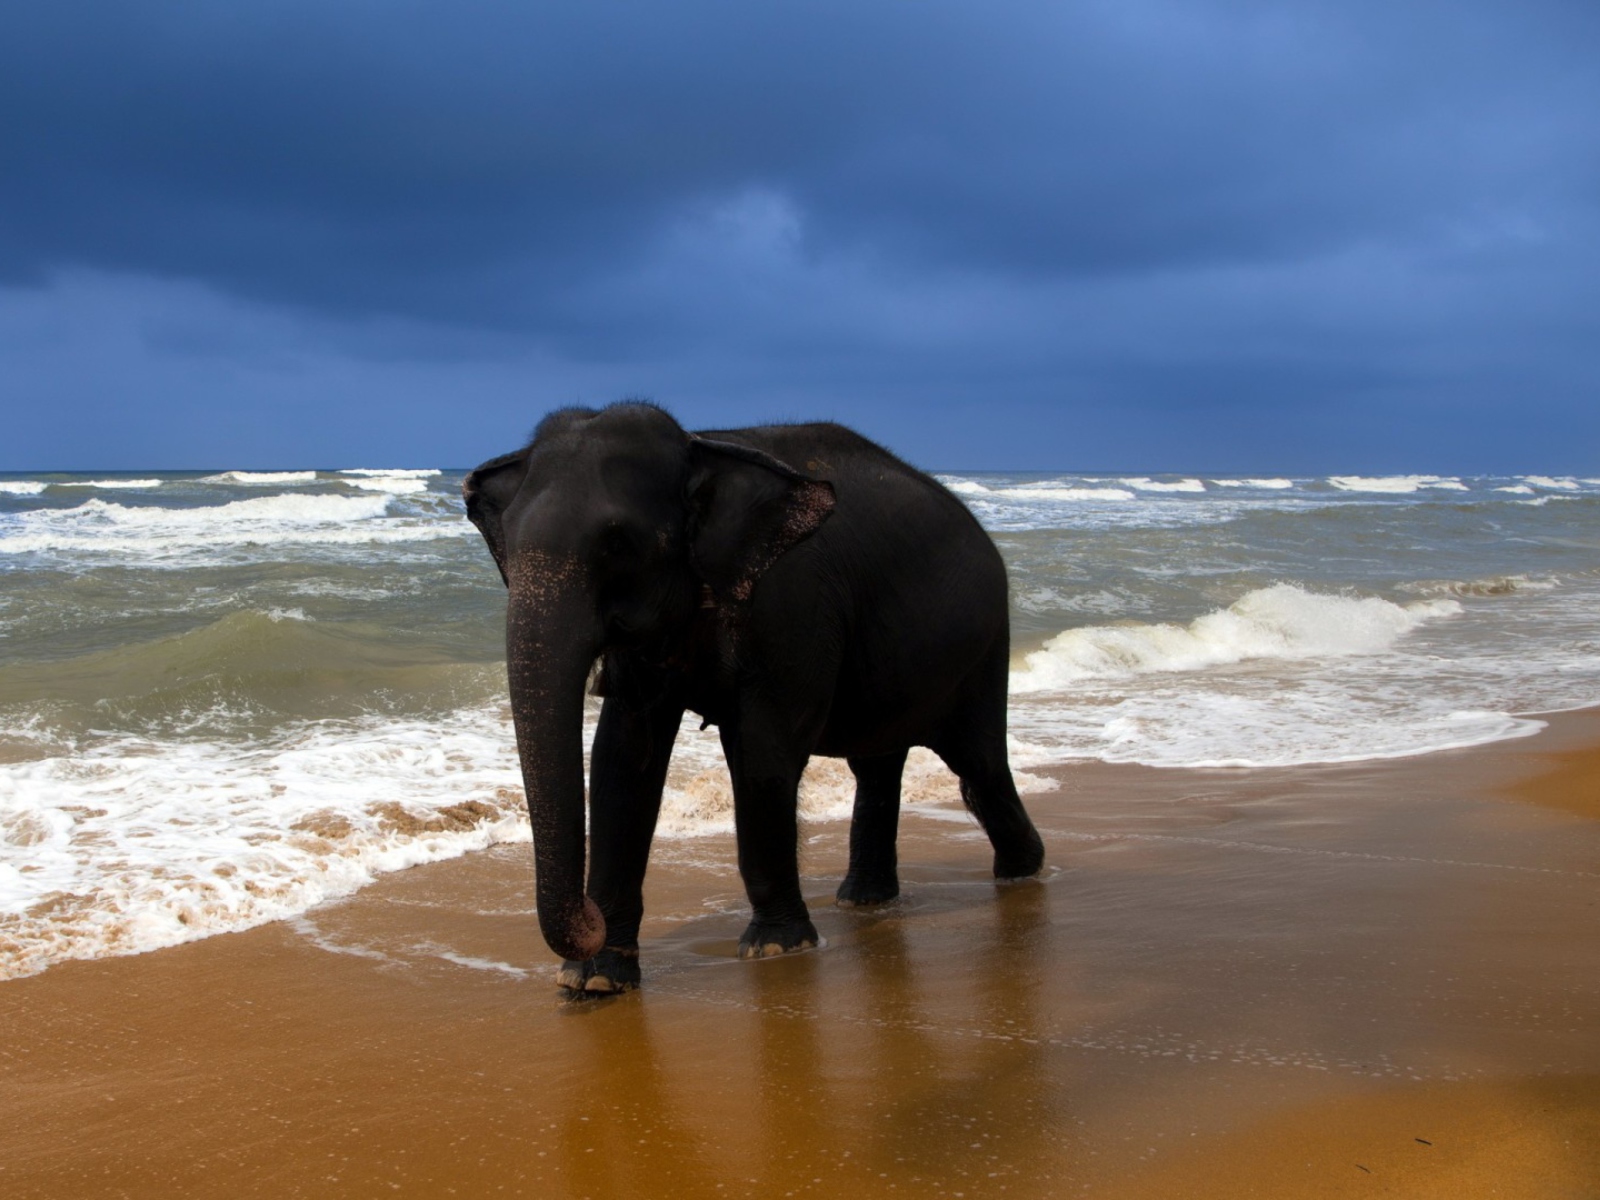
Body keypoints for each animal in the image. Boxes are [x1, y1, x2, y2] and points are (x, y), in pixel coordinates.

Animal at [460, 404, 1049, 998]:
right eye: (507, 542)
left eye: (617, 543)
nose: (590, 917)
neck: (702, 447)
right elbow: (621, 762)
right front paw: (595, 980)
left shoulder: (793, 604)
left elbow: (763, 755)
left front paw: (776, 948)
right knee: (879, 764)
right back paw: (864, 899)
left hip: (983, 645)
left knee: (978, 764)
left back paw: (1021, 871)